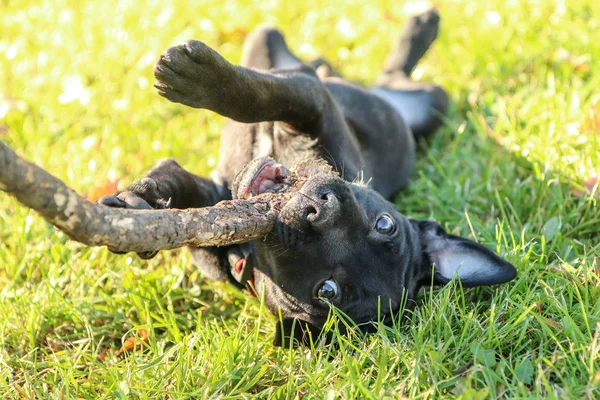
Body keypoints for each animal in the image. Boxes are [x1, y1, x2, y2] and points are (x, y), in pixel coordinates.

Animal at [99, 10, 516, 346]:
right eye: (386, 224)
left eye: (327, 291)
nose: (319, 209)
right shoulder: (308, 109)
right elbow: (259, 100)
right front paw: (136, 204)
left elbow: (259, 97)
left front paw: (198, 80)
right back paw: (418, 28)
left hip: (427, 100)